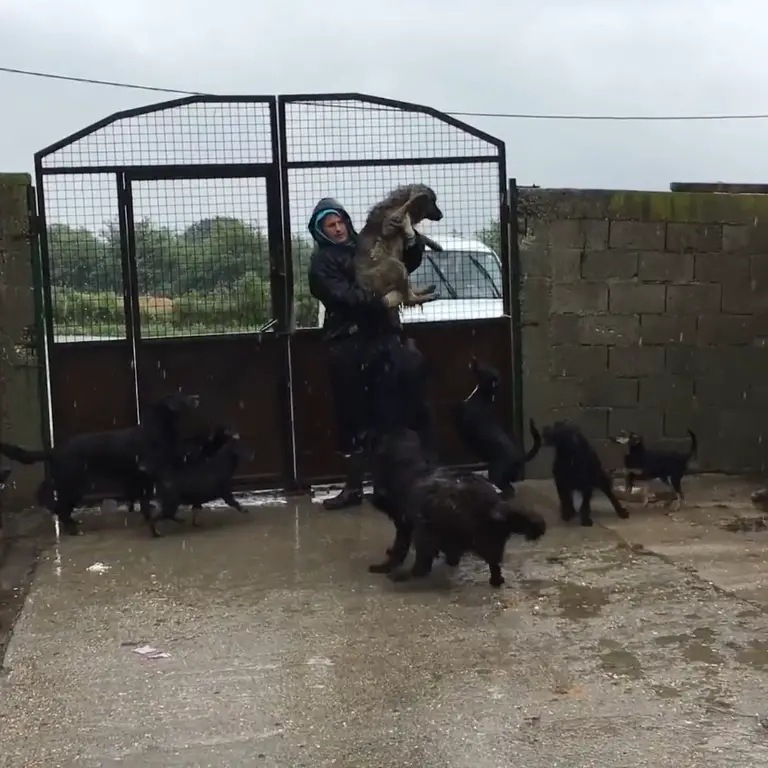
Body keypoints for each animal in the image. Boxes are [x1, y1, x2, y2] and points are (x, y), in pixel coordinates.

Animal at [0, 396, 201, 536]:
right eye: (180, 396)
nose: (196, 397)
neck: (154, 432)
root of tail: (56, 449)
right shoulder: (149, 478)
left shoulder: (143, 481)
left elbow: (146, 505)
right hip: (74, 485)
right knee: (60, 506)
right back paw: (72, 529)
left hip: (69, 485)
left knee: (56, 502)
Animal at [368, 426, 544, 588]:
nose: (375, 499)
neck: (408, 465)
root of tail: (493, 506)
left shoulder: (404, 524)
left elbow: (399, 549)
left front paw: (384, 566)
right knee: (493, 563)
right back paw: (495, 580)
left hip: (424, 531)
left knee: (421, 568)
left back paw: (401, 576)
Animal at [452, 356, 544, 496]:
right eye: (488, 366)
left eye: (484, 367)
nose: (474, 358)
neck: (484, 396)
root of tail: (520, 456)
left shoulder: (462, 417)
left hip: (496, 470)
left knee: (505, 488)